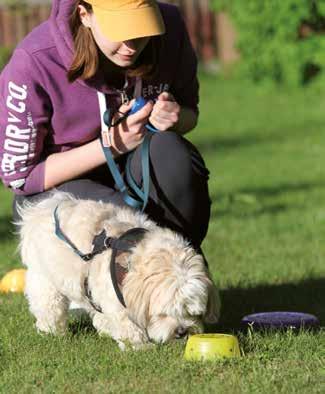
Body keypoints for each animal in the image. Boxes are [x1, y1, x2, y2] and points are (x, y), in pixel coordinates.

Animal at [17, 192, 220, 350]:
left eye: (194, 313)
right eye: (163, 313)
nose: (182, 331)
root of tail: (42, 209)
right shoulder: (116, 296)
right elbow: (127, 323)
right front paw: (140, 346)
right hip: (45, 279)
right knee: (48, 306)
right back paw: (51, 331)